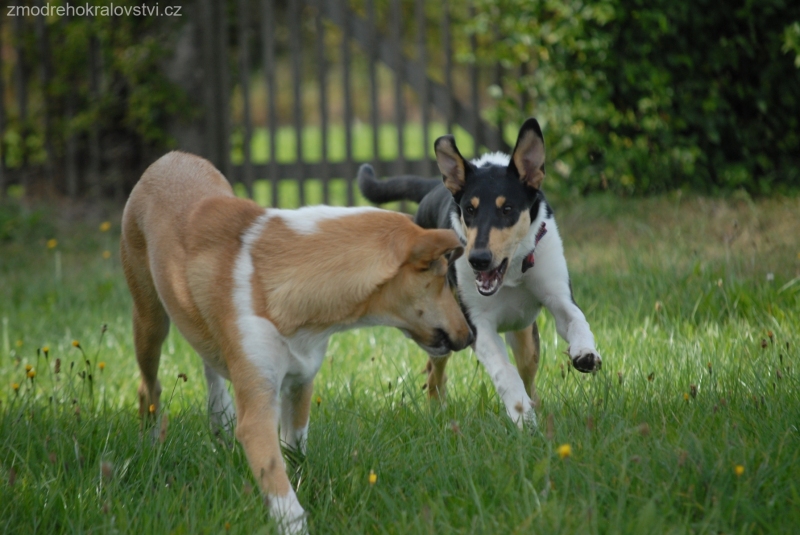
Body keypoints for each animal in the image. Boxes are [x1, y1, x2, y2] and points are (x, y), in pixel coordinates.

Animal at [121, 152, 472, 535]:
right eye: (443, 276)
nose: (469, 336)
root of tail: (171, 157)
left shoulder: (301, 382)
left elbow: (295, 448)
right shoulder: (259, 401)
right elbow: (276, 476)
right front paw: (294, 521)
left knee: (209, 365)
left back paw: (220, 419)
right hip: (149, 318)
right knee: (149, 384)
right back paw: (150, 441)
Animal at [358, 119, 600, 430]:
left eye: (507, 208)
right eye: (469, 210)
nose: (478, 260)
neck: (512, 273)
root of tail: (433, 187)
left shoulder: (558, 295)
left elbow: (577, 320)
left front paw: (585, 354)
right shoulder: (477, 325)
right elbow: (504, 371)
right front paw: (521, 417)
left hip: (525, 337)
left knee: (528, 373)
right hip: (442, 326)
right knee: (434, 372)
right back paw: (438, 411)